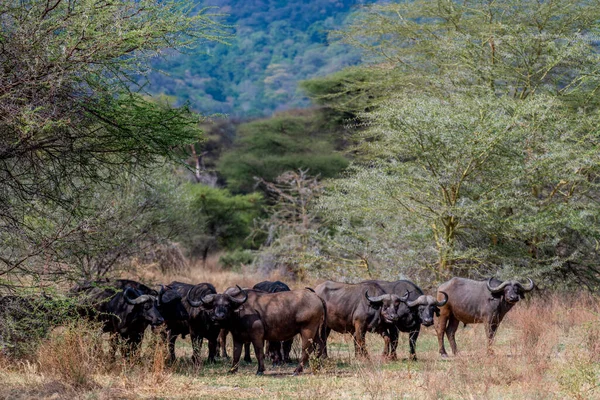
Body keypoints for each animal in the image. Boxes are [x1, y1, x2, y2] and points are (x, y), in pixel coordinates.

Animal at [190, 288, 326, 376]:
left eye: (228, 305)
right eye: (214, 305)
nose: (219, 317)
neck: (240, 313)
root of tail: (316, 296)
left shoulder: (257, 336)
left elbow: (258, 352)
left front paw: (260, 370)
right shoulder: (237, 337)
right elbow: (236, 354)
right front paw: (232, 370)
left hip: (307, 330)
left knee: (307, 349)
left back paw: (297, 371)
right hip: (315, 332)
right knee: (320, 345)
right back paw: (317, 367)